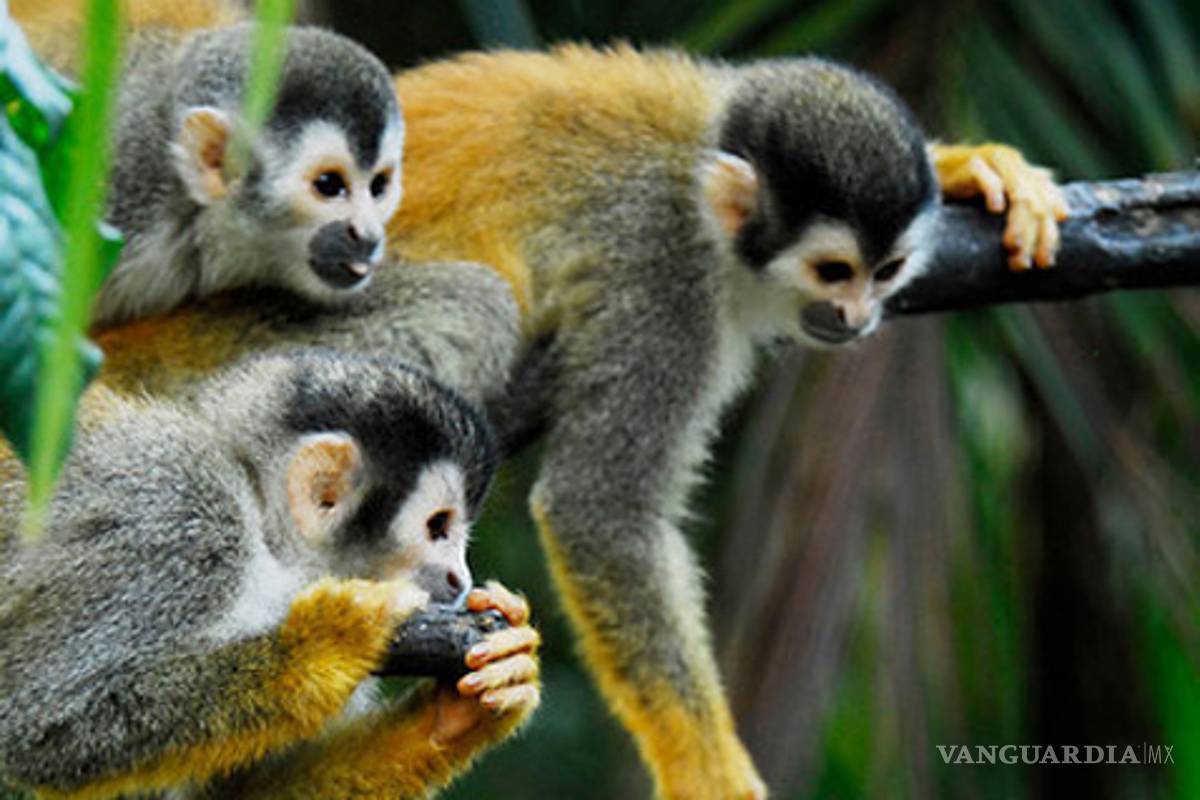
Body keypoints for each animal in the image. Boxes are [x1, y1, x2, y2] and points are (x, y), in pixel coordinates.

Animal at [0, 350, 541, 800]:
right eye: (437, 527)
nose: (459, 580)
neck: (262, 532)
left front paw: (460, 712)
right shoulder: (176, 522)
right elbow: (42, 726)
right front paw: (328, 642)